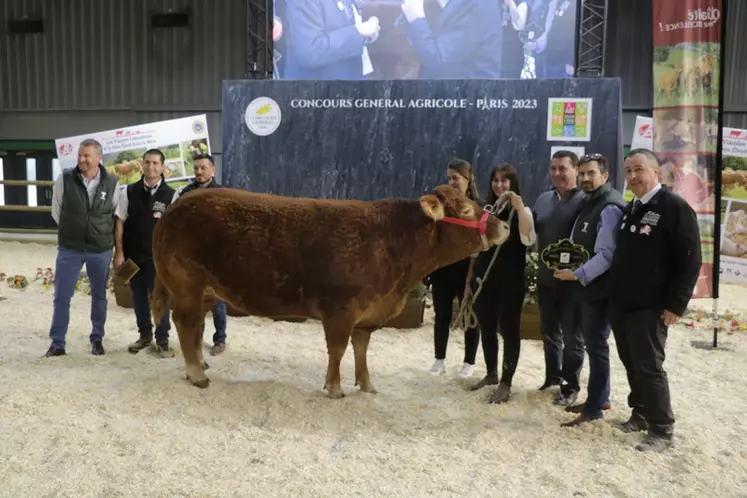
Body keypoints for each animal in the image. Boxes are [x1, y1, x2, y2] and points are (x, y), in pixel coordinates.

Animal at [152, 185, 516, 398]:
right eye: (466, 210)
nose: (505, 225)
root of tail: (175, 206)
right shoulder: (341, 310)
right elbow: (338, 350)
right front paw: (335, 387)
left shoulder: (367, 313)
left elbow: (361, 349)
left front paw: (366, 384)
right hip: (187, 282)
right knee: (185, 322)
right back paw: (196, 374)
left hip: (207, 290)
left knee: (196, 325)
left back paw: (200, 364)